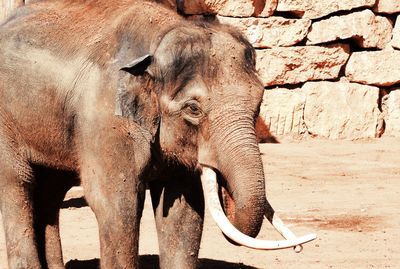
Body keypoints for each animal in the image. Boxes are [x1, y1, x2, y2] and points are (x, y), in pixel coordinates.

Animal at [0, 0, 314, 268]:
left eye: (259, 101)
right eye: (193, 108)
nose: (303, 245)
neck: (159, 39)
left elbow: (184, 210)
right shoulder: (104, 118)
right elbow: (116, 204)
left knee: (52, 189)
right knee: (19, 182)